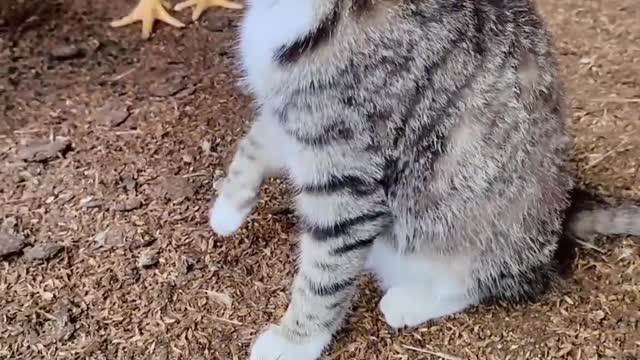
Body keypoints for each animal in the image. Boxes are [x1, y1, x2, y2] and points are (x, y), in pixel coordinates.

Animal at [208, 0, 636, 360]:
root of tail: (565, 211)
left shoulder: (350, 174)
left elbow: (324, 273)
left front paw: (295, 341)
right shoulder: (293, 115)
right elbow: (257, 140)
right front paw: (229, 206)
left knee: (494, 282)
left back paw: (411, 302)